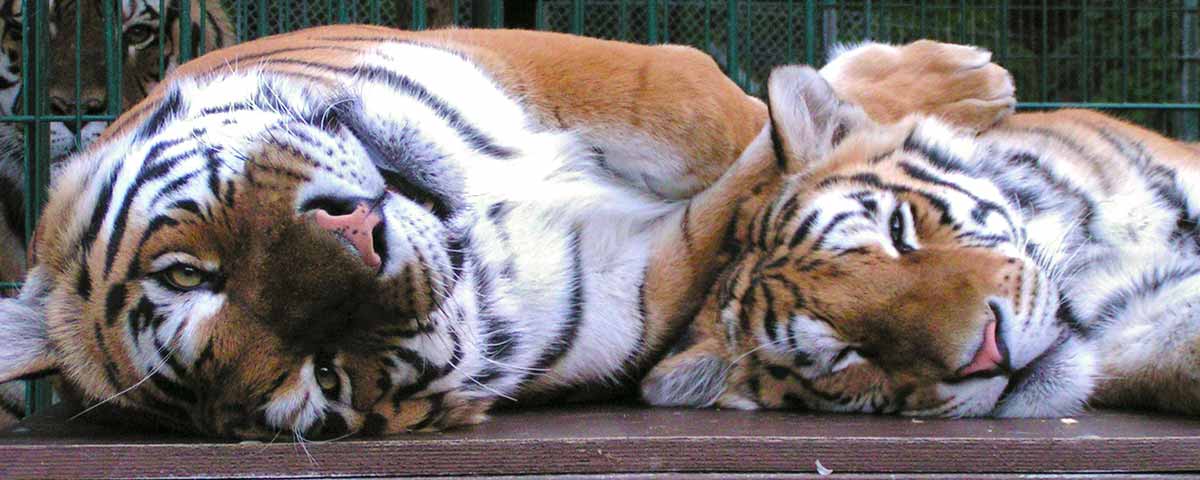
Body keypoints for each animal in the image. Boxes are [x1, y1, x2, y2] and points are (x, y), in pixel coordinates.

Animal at [0, 26, 1014, 437]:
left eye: (188, 273)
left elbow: (707, 106)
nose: (363, 237)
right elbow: (757, 176)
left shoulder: (541, 61)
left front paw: (955, 92)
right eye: (321, 374)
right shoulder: (644, 276)